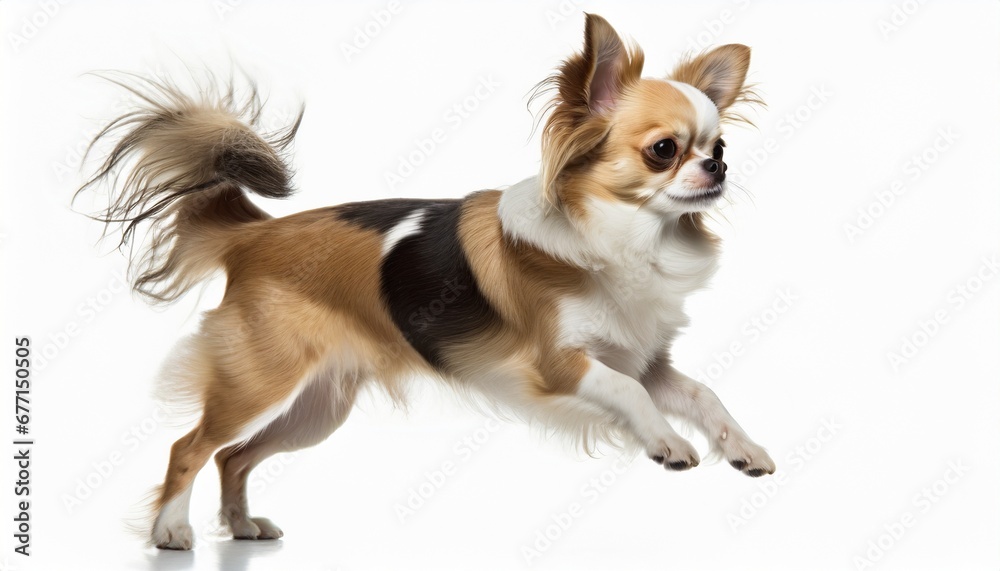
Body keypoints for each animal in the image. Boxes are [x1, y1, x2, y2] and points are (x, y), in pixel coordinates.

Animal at [82, 13, 776, 548]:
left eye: (719, 147)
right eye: (664, 150)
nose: (717, 167)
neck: (631, 239)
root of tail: (256, 234)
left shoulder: (644, 361)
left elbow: (704, 395)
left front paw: (743, 447)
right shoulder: (560, 365)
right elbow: (629, 394)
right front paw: (665, 441)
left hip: (317, 408)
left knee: (233, 455)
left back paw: (243, 526)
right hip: (260, 381)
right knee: (191, 447)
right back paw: (172, 532)